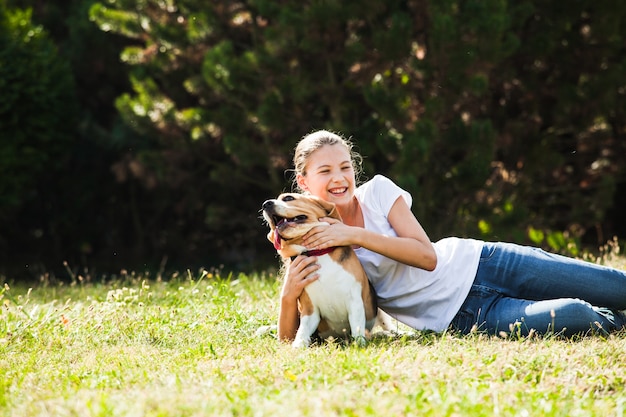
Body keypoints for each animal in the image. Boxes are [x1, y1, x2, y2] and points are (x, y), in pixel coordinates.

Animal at [260, 193, 378, 346]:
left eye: (288, 198)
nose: (265, 204)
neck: (317, 253)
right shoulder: (310, 310)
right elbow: (302, 331)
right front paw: (297, 346)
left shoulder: (355, 300)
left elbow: (357, 326)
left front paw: (359, 344)